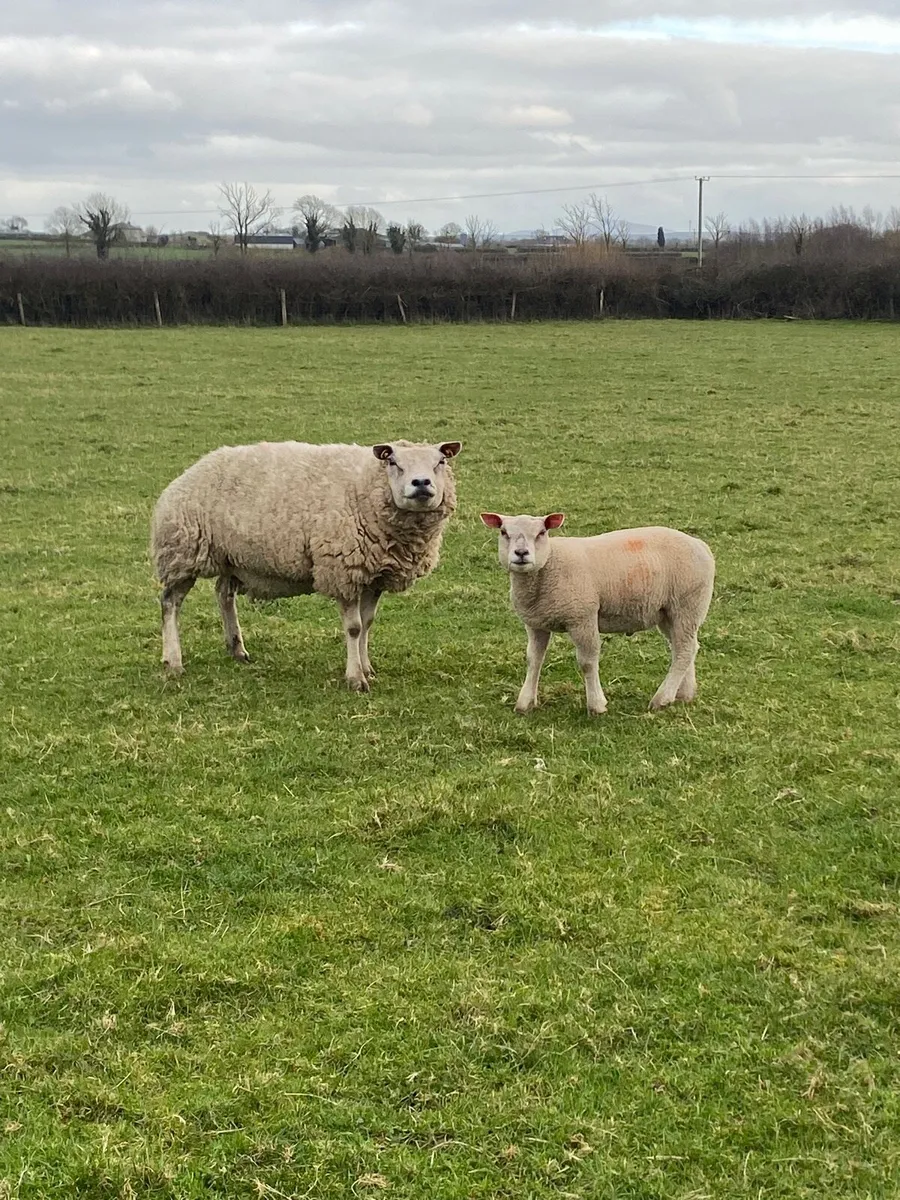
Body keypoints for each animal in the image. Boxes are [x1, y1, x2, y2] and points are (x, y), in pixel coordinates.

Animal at [151, 438, 462, 689]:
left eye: (441, 461)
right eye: (393, 462)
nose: (421, 483)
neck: (365, 490)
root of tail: (190, 471)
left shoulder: (374, 577)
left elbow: (368, 624)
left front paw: (367, 667)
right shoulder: (343, 571)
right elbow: (354, 628)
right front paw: (355, 678)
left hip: (231, 556)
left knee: (223, 594)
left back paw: (237, 649)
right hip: (183, 552)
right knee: (170, 603)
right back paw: (173, 662)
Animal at [480, 512, 715, 715]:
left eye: (541, 532)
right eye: (503, 532)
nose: (521, 554)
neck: (549, 564)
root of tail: (700, 545)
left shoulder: (583, 618)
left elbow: (587, 662)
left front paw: (596, 705)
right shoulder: (536, 623)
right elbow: (533, 659)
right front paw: (525, 702)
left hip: (686, 606)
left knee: (684, 650)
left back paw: (662, 698)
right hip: (668, 613)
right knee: (685, 647)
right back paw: (684, 695)